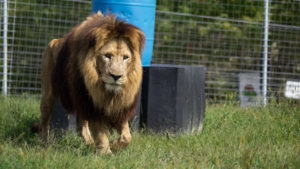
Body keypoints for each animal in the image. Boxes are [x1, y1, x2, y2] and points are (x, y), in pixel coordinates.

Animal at [32, 11, 145, 154]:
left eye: (125, 57)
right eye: (107, 55)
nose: (116, 76)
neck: (108, 93)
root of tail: (56, 40)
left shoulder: (120, 108)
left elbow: (127, 137)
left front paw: (113, 145)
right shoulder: (93, 106)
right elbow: (101, 134)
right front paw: (106, 152)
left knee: (81, 126)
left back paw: (89, 143)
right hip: (49, 94)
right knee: (44, 120)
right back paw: (43, 142)